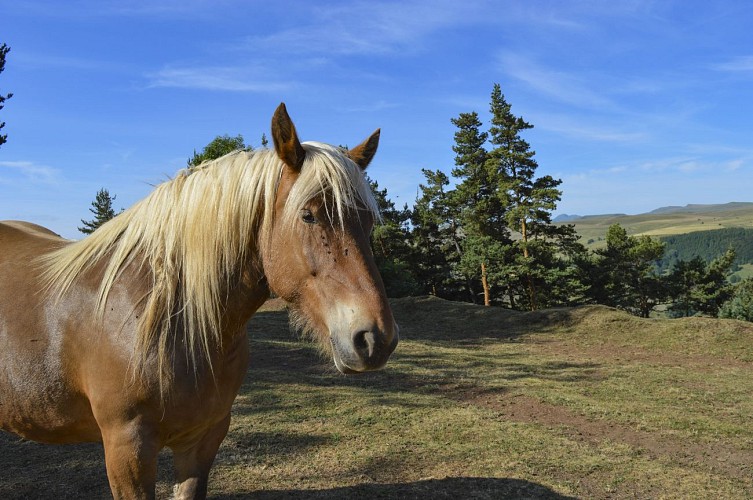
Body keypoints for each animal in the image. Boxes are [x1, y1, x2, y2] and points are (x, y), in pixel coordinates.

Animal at [0, 103, 400, 498]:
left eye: (367, 222)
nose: (375, 338)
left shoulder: (203, 438)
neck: (165, 318)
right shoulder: (126, 448)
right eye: (308, 215)